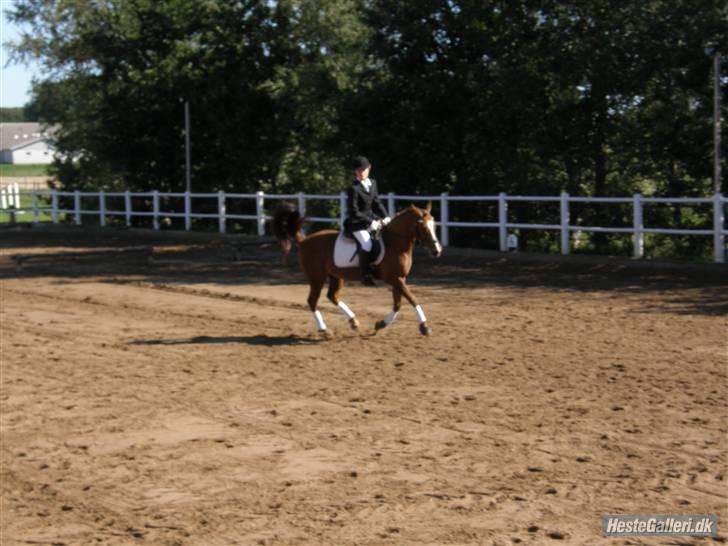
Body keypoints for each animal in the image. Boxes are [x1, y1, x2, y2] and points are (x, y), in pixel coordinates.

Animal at [272, 202, 444, 334]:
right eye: (423, 227)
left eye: (434, 225)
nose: (437, 251)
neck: (395, 243)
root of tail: (304, 240)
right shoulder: (395, 279)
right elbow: (412, 299)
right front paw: (424, 326)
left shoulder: (399, 279)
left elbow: (398, 305)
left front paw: (381, 324)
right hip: (316, 278)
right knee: (312, 301)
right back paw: (324, 329)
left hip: (336, 276)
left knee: (332, 296)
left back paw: (353, 321)